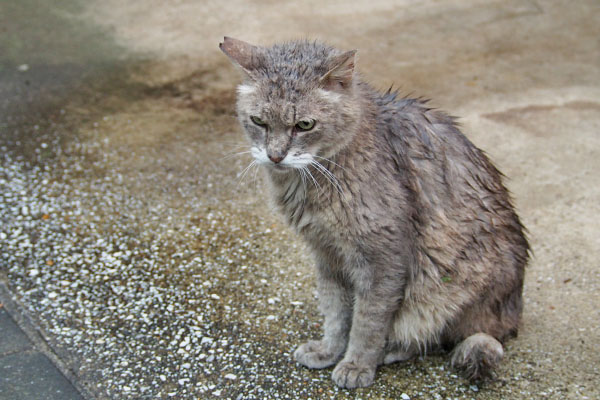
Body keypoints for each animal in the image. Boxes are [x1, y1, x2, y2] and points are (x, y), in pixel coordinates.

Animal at [218, 37, 528, 388]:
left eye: (304, 125)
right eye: (259, 122)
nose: (275, 156)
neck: (314, 180)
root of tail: (509, 319)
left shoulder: (382, 258)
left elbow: (367, 322)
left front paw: (356, 364)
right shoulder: (327, 254)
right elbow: (336, 314)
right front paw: (328, 351)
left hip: (448, 285)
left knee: (437, 337)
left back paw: (391, 350)